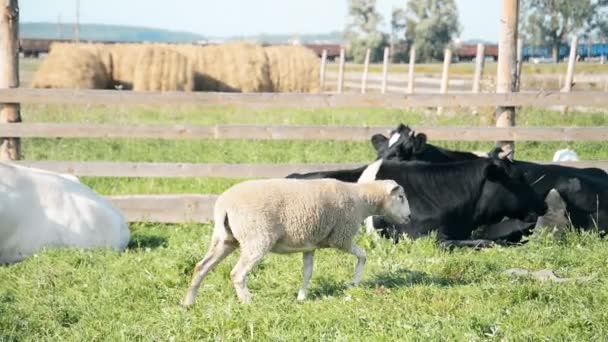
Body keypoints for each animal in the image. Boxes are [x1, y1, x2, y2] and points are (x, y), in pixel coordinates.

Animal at [180, 178, 408, 306]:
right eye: (401, 197)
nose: (409, 217)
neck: (361, 200)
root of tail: (223, 205)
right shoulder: (341, 238)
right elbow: (363, 255)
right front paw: (354, 282)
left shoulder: (309, 244)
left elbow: (307, 271)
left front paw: (301, 297)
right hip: (257, 238)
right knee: (237, 273)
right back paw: (248, 303)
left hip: (226, 239)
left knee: (201, 266)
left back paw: (188, 303)